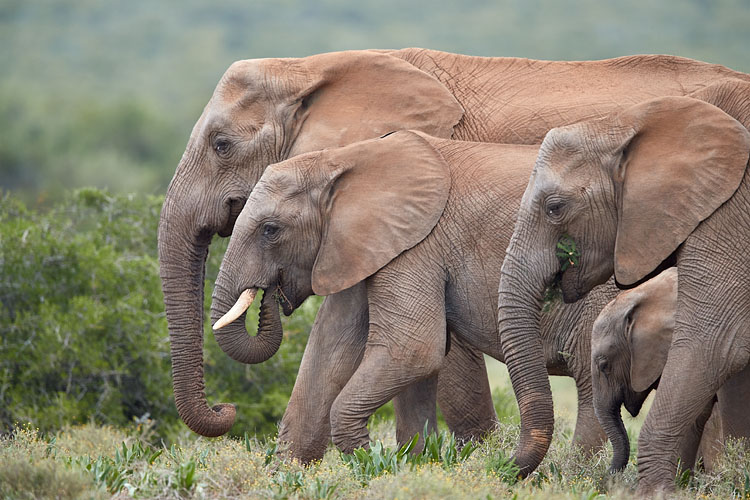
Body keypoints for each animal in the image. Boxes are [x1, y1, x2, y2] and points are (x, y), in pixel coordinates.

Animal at [210, 129, 616, 464]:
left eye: (270, 230)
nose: (223, 408)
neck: (345, 159)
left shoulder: (416, 244)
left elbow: (412, 350)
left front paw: (380, 465)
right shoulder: (363, 245)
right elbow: (329, 348)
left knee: (590, 387)